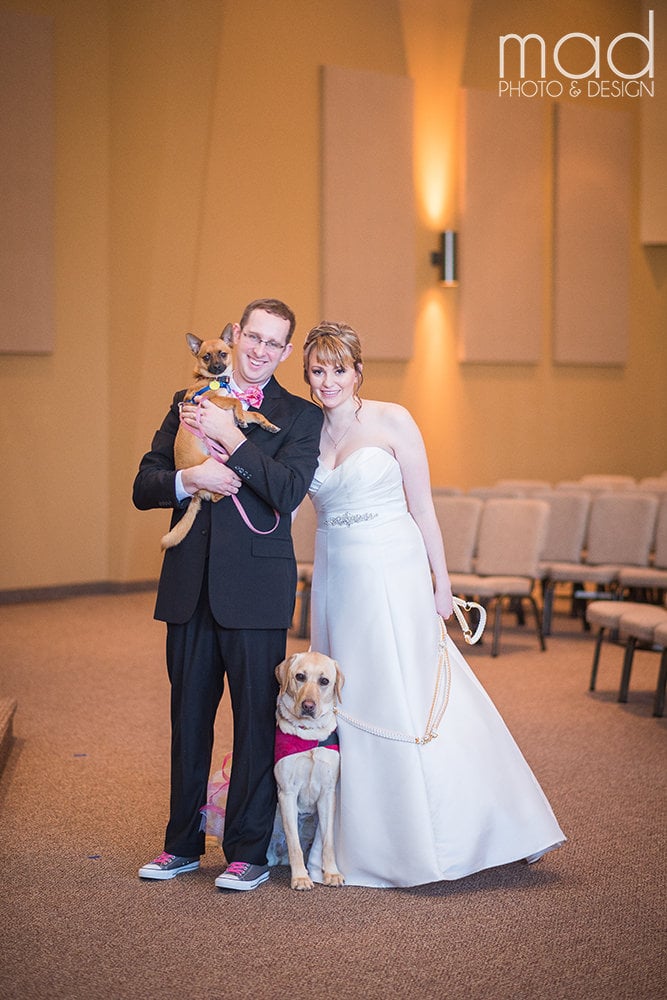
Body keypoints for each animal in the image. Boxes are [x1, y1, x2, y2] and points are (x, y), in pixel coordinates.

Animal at [160, 326, 280, 552]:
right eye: (206, 357)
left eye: (223, 354)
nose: (216, 366)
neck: (216, 382)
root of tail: (196, 494)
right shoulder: (214, 401)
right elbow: (236, 402)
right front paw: (240, 417)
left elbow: (255, 413)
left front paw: (268, 424)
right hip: (212, 467)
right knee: (216, 496)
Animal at [276, 652, 348, 896]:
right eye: (300, 676)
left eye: (324, 681)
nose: (308, 705)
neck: (310, 736)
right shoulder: (286, 794)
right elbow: (294, 844)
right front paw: (300, 877)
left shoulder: (328, 793)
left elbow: (328, 841)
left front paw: (331, 873)